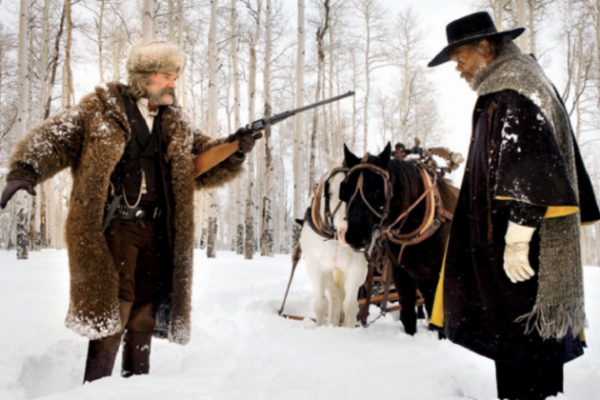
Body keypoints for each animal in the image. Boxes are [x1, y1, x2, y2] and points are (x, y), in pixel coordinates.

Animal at [300, 154, 369, 328]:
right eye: (330, 193)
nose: (348, 234)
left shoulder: (357, 268)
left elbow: (350, 306)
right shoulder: (315, 267)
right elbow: (321, 304)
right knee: (334, 294)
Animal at [340, 143, 457, 335]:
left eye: (378, 191)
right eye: (344, 191)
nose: (354, 237)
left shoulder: (439, 280)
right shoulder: (402, 275)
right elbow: (408, 316)